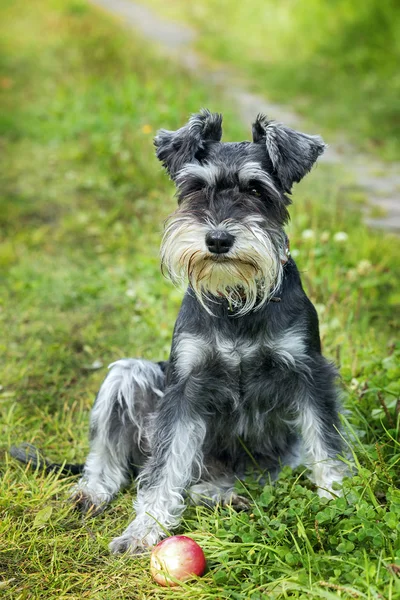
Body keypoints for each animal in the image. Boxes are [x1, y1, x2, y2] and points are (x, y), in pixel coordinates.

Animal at [11, 109, 344, 552]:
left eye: (257, 189)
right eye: (195, 186)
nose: (218, 239)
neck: (236, 300)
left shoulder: (309, 374)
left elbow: (325, 443)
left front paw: (340, 502)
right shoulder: (184, 388)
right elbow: (165, 466)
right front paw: (142, 531)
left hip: (271, 459)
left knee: (218, 483)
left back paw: (226, 496)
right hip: (128, 374)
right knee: (115, 462)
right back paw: (90, 493)